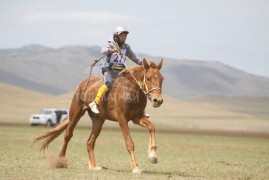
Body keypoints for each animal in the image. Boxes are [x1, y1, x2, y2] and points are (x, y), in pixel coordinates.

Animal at [32, 58, 164, 173]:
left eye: (162, 79)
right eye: (148, 78)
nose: (158, 100)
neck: (131, 89)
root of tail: (83, 84)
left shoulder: (136, 117)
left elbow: (152, 127)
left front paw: (153, 156)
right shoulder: (122, 119)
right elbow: (129, 143)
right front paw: (136, 167)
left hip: (98, 120)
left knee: (90, 142)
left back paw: (94, 166)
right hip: (76, 113)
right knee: (68, 135)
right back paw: (60, 161)